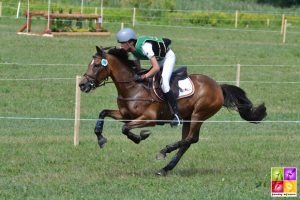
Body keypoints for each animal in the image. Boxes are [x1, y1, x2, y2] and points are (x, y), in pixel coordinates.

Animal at [79, 46, 268, 176]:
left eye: (97, 65)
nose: (82, 84)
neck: (133, 87)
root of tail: (218, 87)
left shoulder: (149, 118)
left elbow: (125, 128)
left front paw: (141, 136)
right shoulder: (125, 115)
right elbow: (103, 113)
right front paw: (101, 139)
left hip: (198, 115)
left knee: (190, 139)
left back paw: (165, 151)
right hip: (188, 118)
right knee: (188, 142)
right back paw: (164, 169)